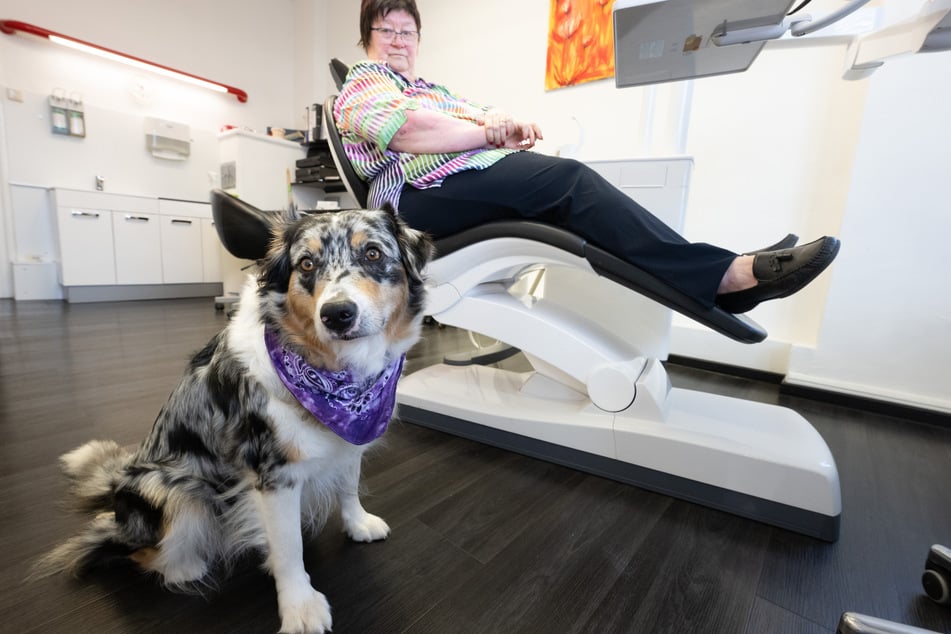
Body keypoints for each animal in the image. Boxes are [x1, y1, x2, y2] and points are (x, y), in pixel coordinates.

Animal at [32, 204, 436, 632]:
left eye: (373, 253)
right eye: (306, 264)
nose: (337, 315)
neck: (334, 374)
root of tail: (117, 484)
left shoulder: (348, 440)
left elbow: (348, 484)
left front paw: (358, 523)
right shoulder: (272, 472)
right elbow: (289, 547)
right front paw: (300, 607)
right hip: (169, 490)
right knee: (123, 546)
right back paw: (183, 566)